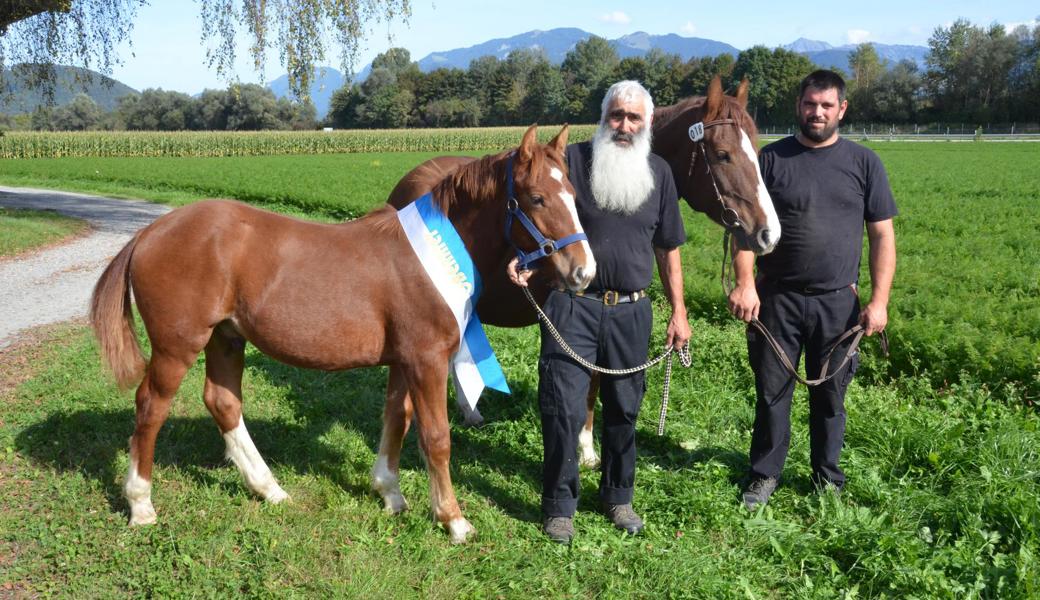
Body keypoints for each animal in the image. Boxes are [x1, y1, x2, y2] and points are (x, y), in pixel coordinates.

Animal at [91, 123, 594, 540]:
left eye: (572, 192)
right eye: (536, 198)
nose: (583, 272)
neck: (432, 255)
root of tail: (150, 232)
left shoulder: (403, 361)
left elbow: (396, 419)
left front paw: (389, 493)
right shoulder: (427, 360)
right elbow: (436, 437)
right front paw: (453, 520)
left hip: (226, 338)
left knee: (222, 401)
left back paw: (268, 488)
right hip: (177, 346)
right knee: (151, 407)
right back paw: (141, 504)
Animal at [386, 76, 777, 442]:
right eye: (723, 154)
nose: (768, 233)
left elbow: (597, 379)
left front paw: (586, 444)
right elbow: (588, 379)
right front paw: (584, 444)